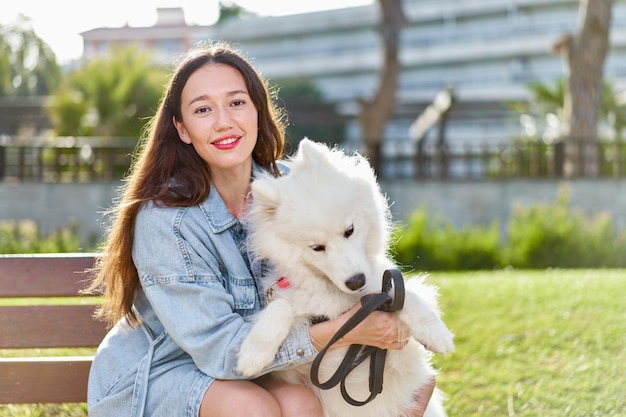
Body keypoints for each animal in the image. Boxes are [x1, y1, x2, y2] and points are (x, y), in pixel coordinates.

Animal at [236, 138, 450, 414]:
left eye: (349, 230)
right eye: (316, 247)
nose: (356, 281)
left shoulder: (395, 349)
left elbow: (406, 295)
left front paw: (437, 333)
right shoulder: (295, 368)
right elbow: (281, 306)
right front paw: (253, 354)